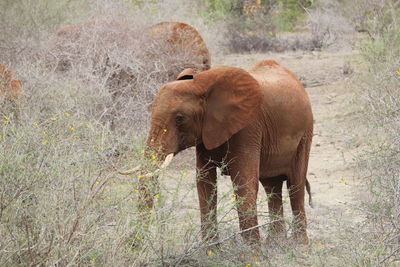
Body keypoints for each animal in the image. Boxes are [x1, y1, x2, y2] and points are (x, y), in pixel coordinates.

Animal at [120, 58, 314, 245]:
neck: (202, 85)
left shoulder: (249, 127)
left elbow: (244, 183)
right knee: (271, 186)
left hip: (306, 132)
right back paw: (276, 244)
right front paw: (211, 251)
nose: (132, 245)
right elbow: (204, 182)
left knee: (295, 185)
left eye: (180, 118)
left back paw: (299, 246)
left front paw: (252, 252)